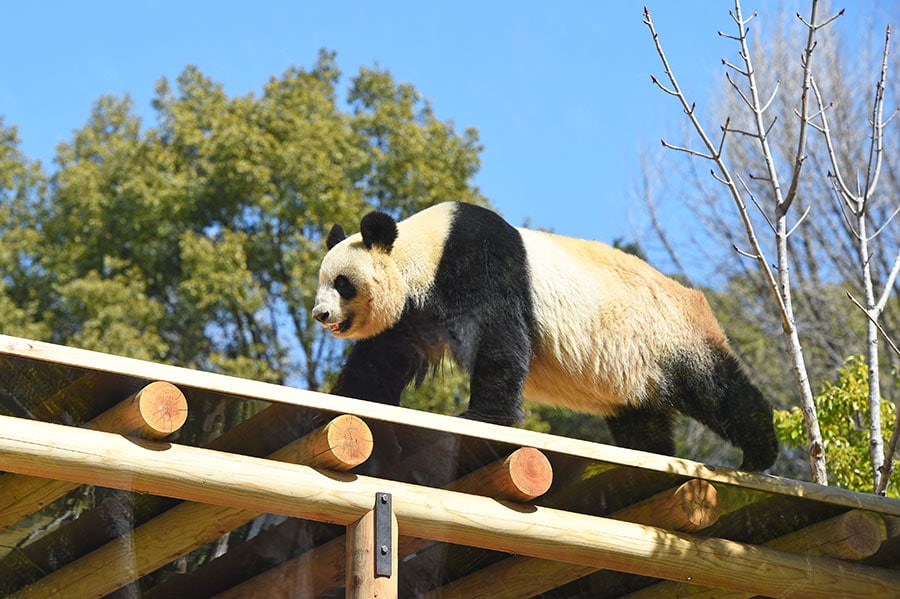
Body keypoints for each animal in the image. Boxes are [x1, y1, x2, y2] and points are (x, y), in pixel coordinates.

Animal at [312, 202, 776, 474]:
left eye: (342, 283)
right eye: (323, 282)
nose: (321, 314)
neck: (426, 248)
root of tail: (697, 302)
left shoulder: (478, 262)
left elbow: (499, 338)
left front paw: (483, 417)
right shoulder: (416, 311)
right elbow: (383, 359)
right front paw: (340, 403)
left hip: (670, 336)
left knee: (718, 389)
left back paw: (759, 452)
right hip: (635, 376)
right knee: (643, 421)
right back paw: (654, 451)